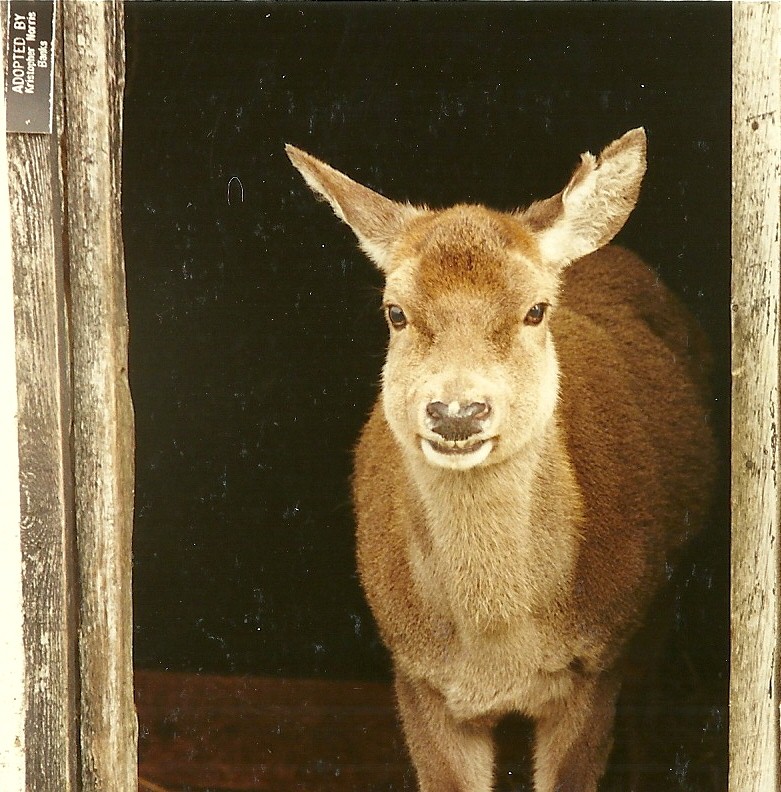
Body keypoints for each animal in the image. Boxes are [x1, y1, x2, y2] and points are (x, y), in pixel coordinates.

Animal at [286, 129, 715, 792]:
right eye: (396, 311)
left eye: (536, 309)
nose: (457, 412)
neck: (497, 651)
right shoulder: (418, 674)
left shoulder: (598, 661)